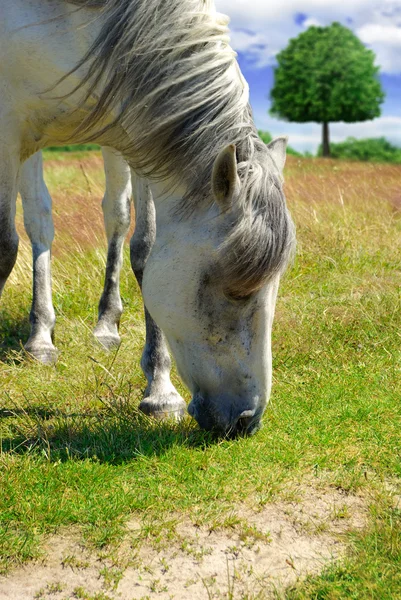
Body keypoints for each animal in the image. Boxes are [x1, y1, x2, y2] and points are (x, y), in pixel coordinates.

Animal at [0, 0, 294, 434]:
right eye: (237, 289)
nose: (247, 420)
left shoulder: (143, 132)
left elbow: (145, 247)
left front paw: (160, 390)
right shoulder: (9, 129)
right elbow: (6, 246)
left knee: (115, 215)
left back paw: (105, 325)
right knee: (39, 220)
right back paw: (40, 338)